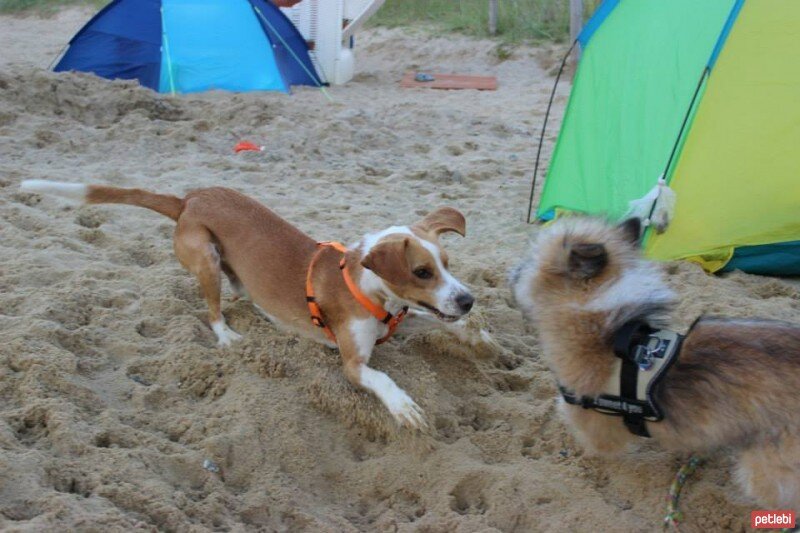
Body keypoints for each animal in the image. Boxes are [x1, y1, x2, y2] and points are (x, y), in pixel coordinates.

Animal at [21, 180, 478, 428]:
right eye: (421, 272)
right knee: (212, 309)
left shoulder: (398, 321)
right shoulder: (352, 363)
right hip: (205, 255)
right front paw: (403, 407)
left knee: (239, 289)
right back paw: (226, 334)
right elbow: (382, 378)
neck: (365, 286)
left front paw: (481, 339)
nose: (468, 300)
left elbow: (445, 323)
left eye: (447, 263)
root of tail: (189, 199)